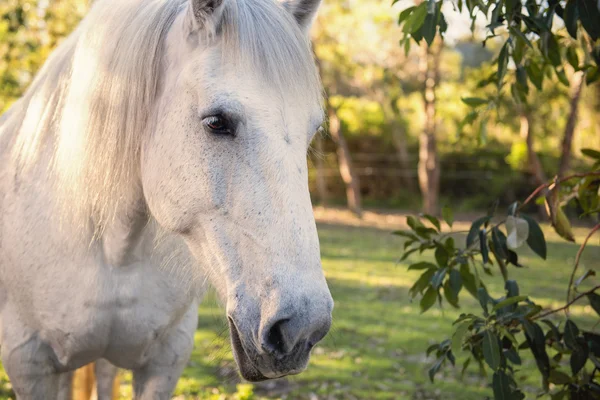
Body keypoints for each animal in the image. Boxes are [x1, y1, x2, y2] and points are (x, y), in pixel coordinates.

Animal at [0, 0, 332, 396]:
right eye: (216, 122)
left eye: (312, 130)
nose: (302, 328)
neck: (114, 254)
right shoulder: (28, 363)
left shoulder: (166, 359)